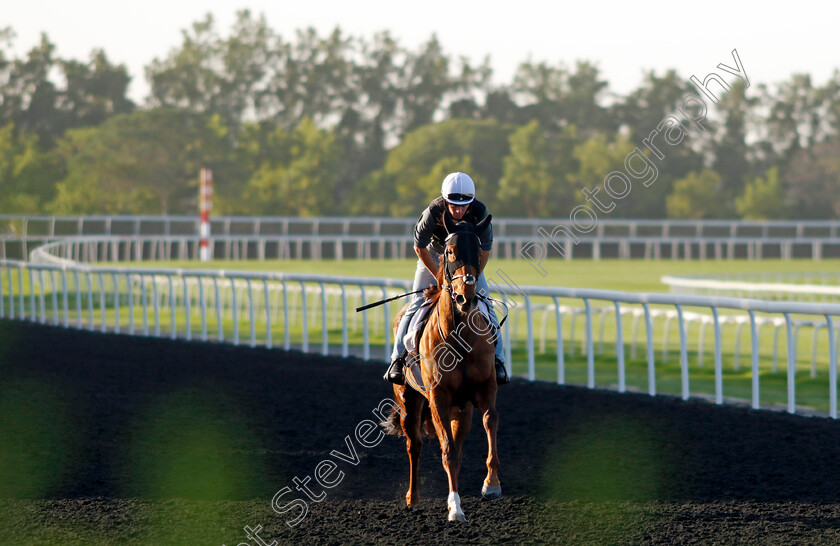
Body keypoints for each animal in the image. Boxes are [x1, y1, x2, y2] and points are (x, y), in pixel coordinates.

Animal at [386, 210, 498, 520]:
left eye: (478, 251)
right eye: (449, 251)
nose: (465, 296)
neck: (459, 337)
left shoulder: (485, 389)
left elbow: (490, 422)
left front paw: (491, 483)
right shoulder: (438, 397)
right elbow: (446, 449)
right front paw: (455, 508)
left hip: (462, 409)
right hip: (408, 400)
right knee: (415, 445)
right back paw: (412, 497)